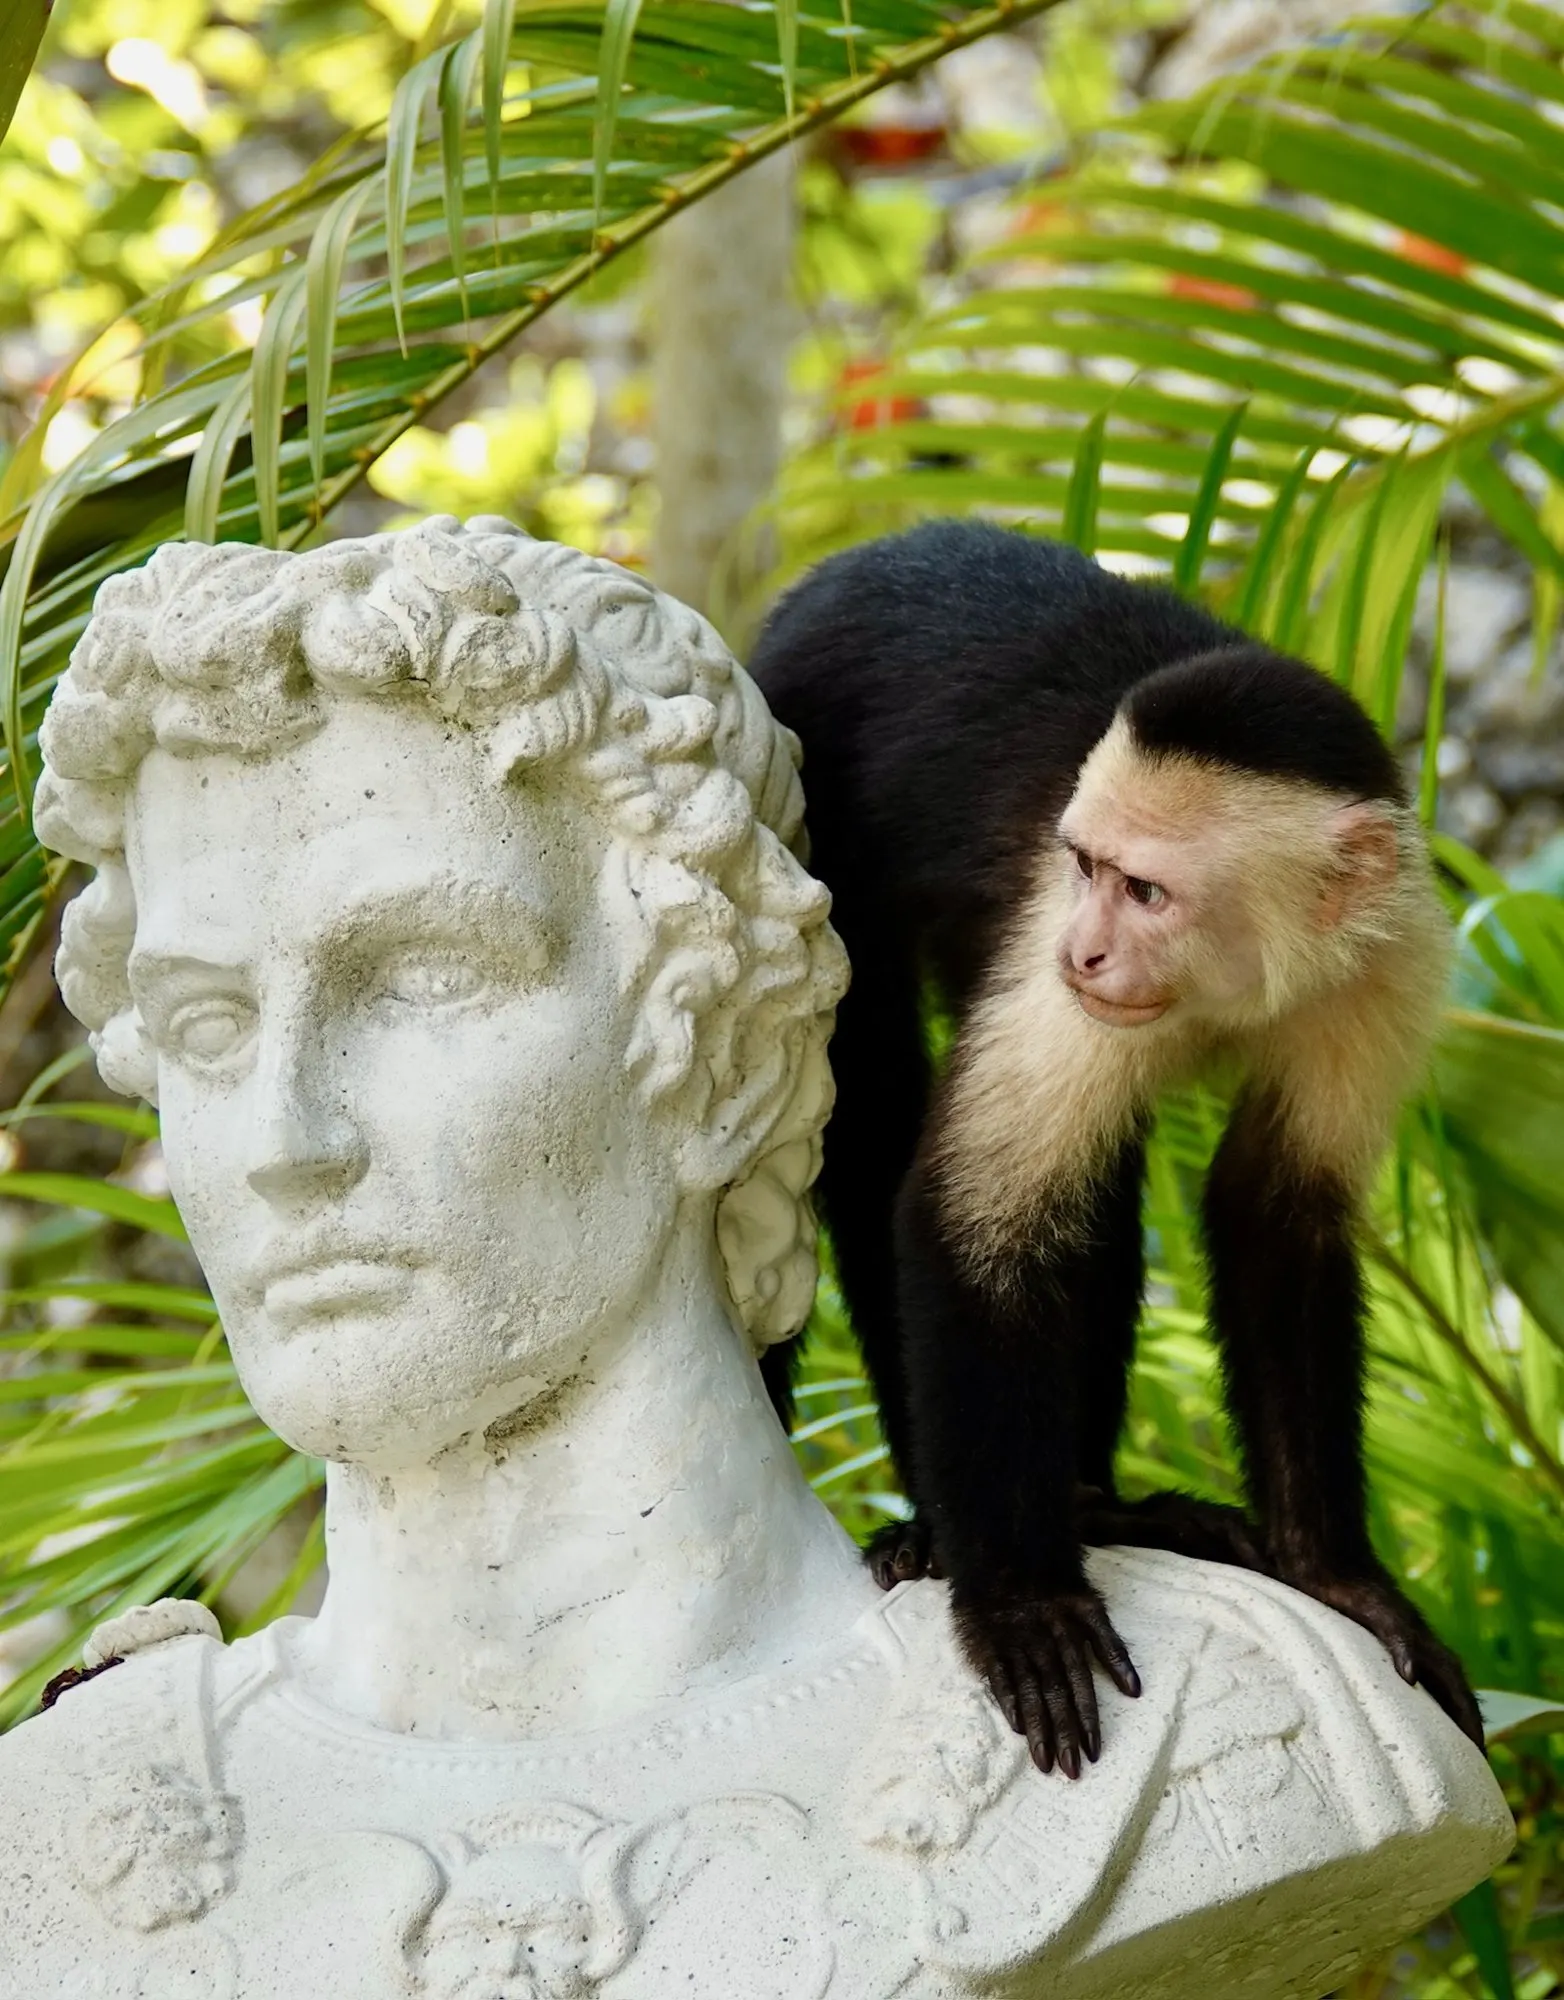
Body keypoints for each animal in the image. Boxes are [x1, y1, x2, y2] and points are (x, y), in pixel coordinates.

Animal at [748, 519, 1483, 1778]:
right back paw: (938, 1532)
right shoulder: (1050, 926)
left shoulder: (1387, 958)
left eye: (1145, 889)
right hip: (797, 803)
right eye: (1090, 866)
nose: (1088, 955)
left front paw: (1336, 1572)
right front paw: (1017, 1599)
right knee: (859, 1114)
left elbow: (1274, 1217)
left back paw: (1099, 1505)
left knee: (1093, 1188)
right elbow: (970, 1211)